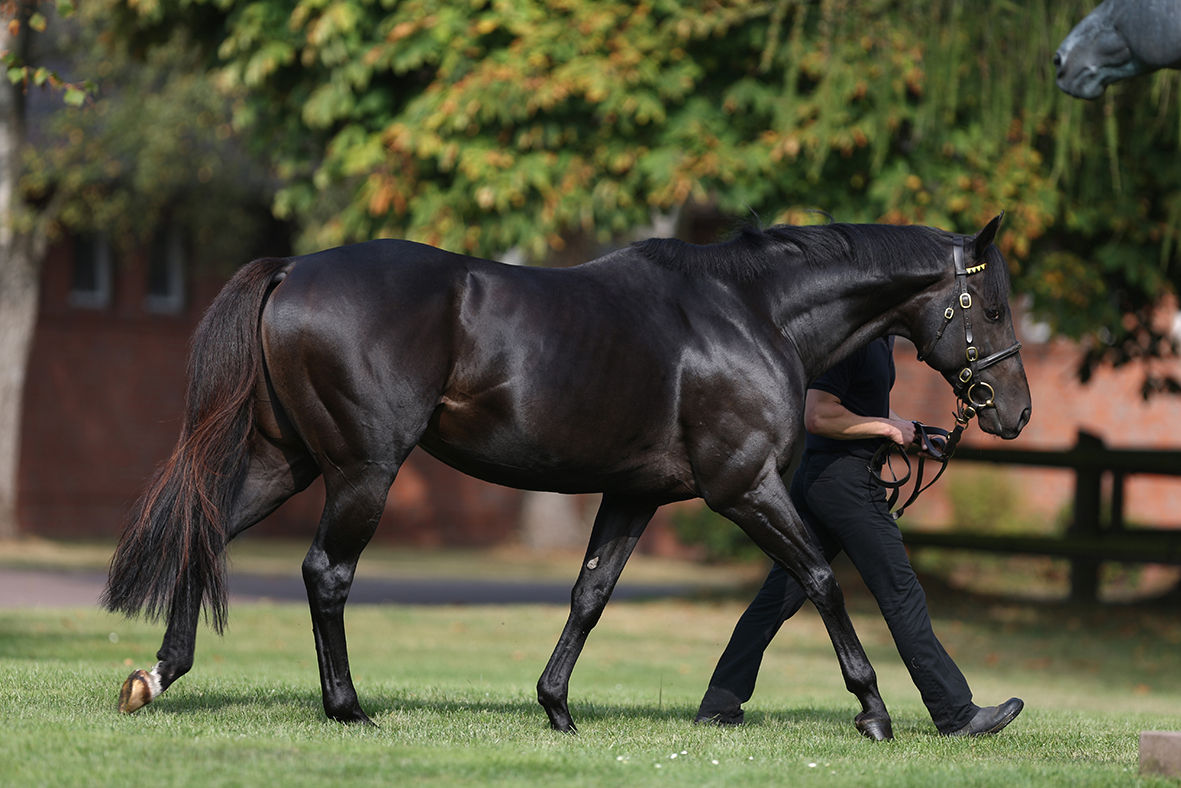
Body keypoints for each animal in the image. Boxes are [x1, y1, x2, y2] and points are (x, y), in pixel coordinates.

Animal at [101, 213, 1029, 741]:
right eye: (989, 308)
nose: (1013, 413)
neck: (749, 311)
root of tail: (293, 270)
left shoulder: (634, 494)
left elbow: (590, 595)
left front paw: (555, 706)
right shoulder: (743, 489)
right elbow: (821, 582)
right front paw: (873, 712)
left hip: (285, 462)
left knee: (204, 532)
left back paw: (158, 675)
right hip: (362, 469)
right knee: (325, 573)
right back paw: (348, 708)